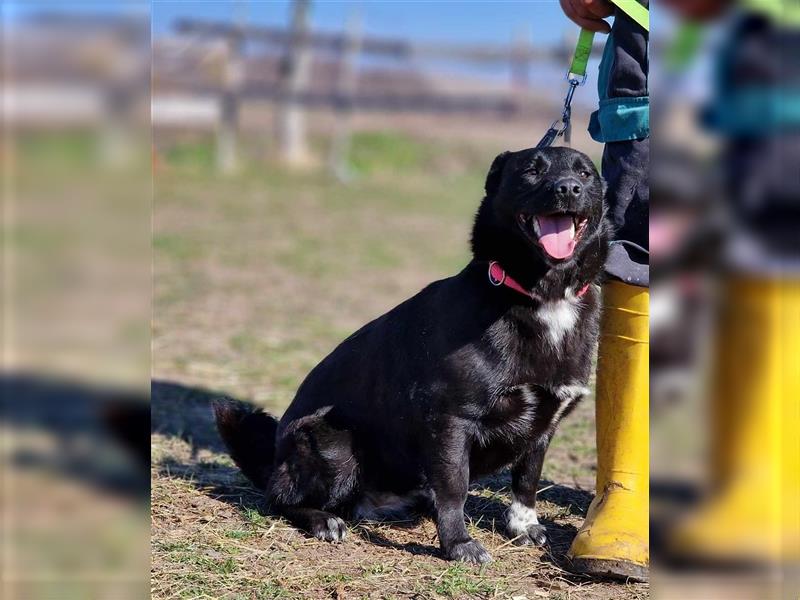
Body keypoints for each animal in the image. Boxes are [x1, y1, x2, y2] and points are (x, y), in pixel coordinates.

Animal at [216, 145, 608, 564]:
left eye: (585, 174)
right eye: (532, 171)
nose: (568, 188)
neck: (541, 296)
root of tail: (274, 460)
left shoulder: (545, 422)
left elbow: (527, 479)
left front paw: (523, 526)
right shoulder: (451, 419)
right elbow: (454, 487)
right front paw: (458, 543)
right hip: (332, 440)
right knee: (278, 499)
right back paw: (323, 520)